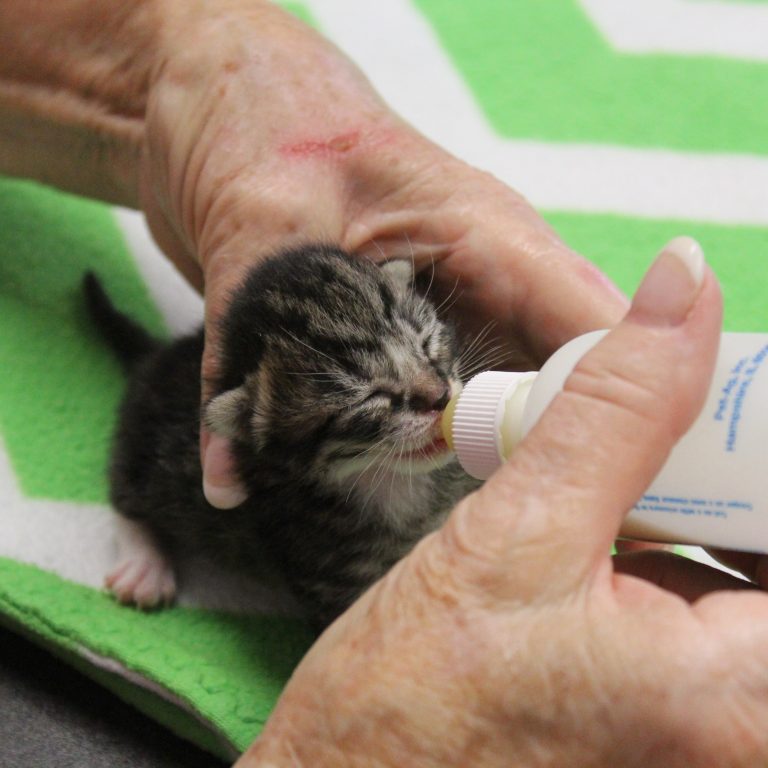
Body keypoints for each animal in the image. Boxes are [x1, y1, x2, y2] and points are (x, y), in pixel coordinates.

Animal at [85, 243, 480, 628]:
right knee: (124, 492)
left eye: (427, 344)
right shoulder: (331, 570)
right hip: (148, 449)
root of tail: (158, 356)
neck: (396, 483)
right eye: (369, 396)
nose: (441, 396)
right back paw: (143, 565)